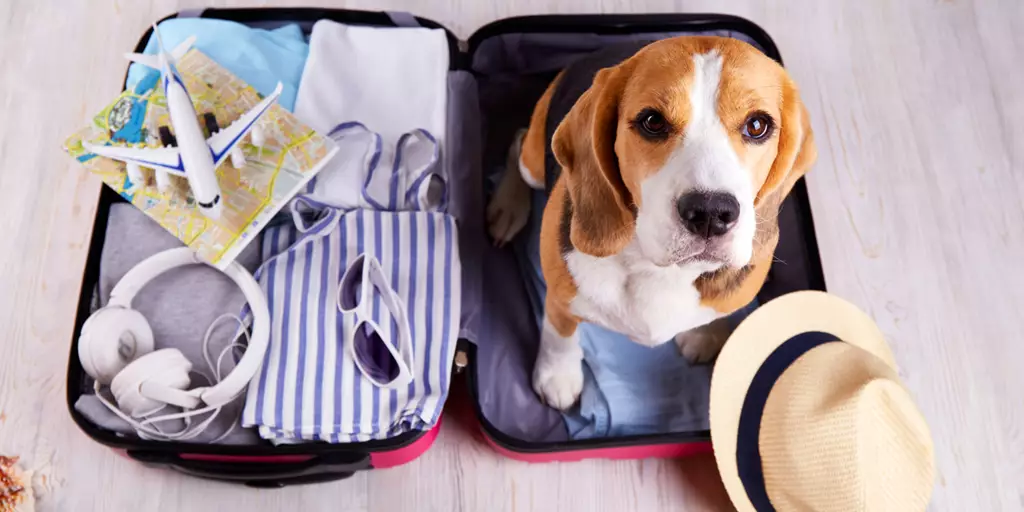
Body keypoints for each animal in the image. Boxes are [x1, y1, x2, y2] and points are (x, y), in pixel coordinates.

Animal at [485, 36, 815, 409]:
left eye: (757, 126)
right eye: (653, 122)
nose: (710, 213)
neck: (658, 269)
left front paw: (705, 333)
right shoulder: (559, 295)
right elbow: (560, 336)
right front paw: (558, 375)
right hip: (533, 163)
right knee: (518, 141)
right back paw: (507, 207)